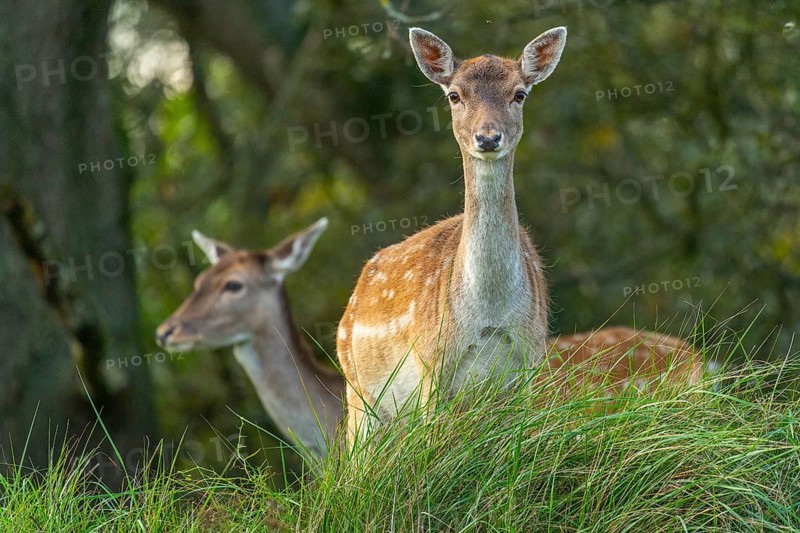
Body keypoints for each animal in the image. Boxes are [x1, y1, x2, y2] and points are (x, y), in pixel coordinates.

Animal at [336, 27, 568, 443]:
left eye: (519, 94)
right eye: (454, 95)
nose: (488, 138)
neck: (489, 315)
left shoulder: (531, 359)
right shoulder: (432, 364)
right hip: (358, 394)